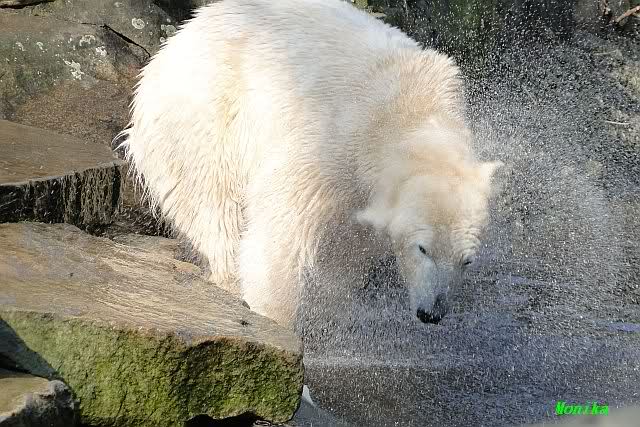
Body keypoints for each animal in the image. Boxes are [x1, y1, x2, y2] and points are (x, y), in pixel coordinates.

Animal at [117, 0, 502, 329]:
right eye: (423, 248)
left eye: (466, 260)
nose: (431, 313)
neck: (408, 111)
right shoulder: (326, 143)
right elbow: (281, 232)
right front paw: (273, 317)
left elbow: (349, 249)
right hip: (201, 120)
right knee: (214, 208)